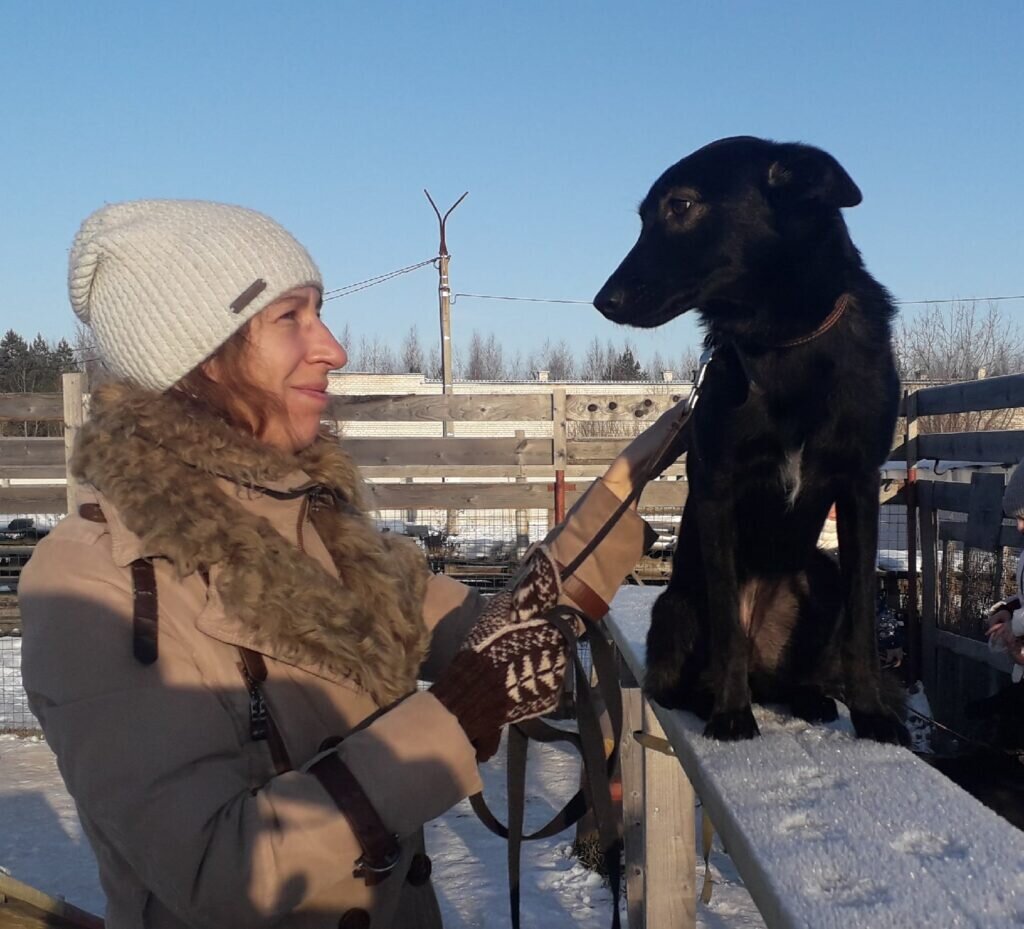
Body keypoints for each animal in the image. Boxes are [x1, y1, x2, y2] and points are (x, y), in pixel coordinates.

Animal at [598, 138, 909, 745]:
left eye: (681, 206)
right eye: (644, 217)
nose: (605, 300)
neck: (784, 342)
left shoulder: (859, 485)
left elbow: (863, 620)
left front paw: (872, 714)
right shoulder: (719, 490)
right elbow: (726, 629)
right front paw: (730, 713)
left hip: (820, 575)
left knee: (796, 670)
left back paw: (810, 697)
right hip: (676, 608)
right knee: (687, 675)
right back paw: (713, 698)